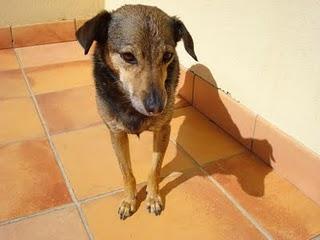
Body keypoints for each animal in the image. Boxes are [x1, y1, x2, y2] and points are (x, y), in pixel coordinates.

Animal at [77, 4, 198, 219]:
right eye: (128, 56)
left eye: (167, 56)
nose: (157, 107)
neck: (130, 105)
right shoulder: (116, 133)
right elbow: (127, 173)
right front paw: (129, 201)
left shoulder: (163, 130)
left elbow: (154, 169)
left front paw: (153, 198)